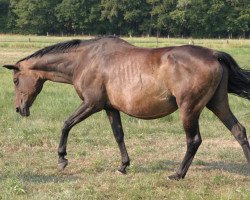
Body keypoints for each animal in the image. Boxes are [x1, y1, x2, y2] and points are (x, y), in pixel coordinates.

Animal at [2, 36, 250, 180]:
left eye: (15, 80)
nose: (19, 109)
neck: (85, 60)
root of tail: (213, 54)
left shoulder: (91, 104)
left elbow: (66, 124)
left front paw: (62, 159)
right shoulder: (110, 108)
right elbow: (118, 135)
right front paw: (123, 166)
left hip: (189, 109)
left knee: (194, 140)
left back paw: (177, 174)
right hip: (217, 104)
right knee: (239, 131)